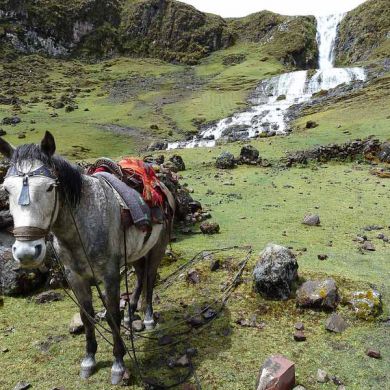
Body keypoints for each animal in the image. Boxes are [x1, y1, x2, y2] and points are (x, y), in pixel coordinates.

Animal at [0, 131, 174, 384]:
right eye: (6, 190)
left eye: (50, 188)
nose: (26, 253)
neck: (83, 224)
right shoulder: (75, 277)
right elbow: (87, 316)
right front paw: (89, 360)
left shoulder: (110, 275)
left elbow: (111, 315)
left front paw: (118, 364)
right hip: (136, 253)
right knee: (141, 278)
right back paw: (131, 315)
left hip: (156, 249)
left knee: (150, 280)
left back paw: (148, 318)